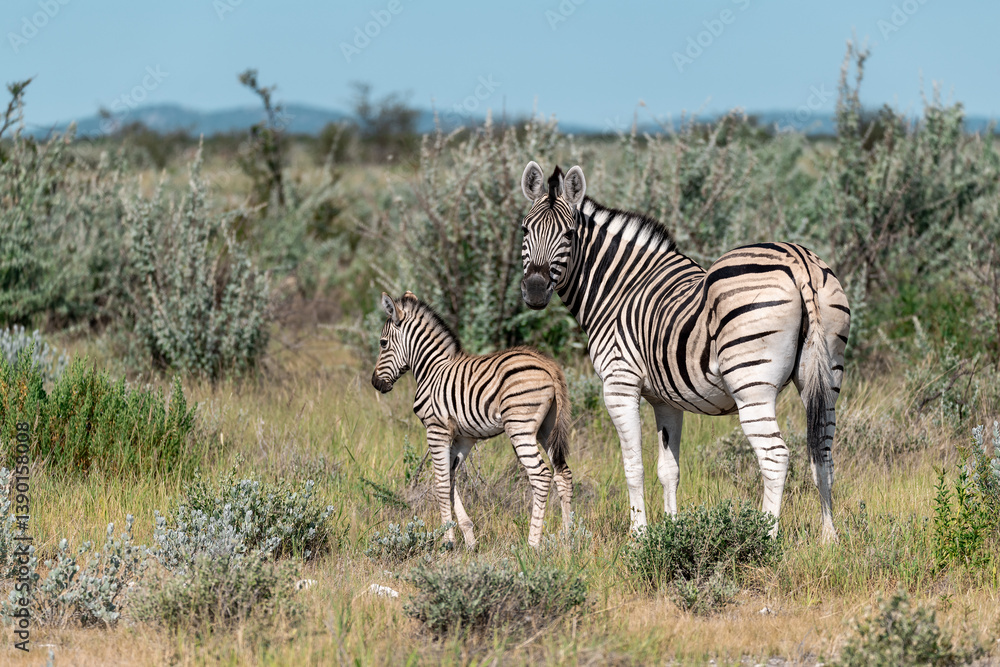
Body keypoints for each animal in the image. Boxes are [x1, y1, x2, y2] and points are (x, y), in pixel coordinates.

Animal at [371, 291, 574, 548]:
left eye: (382, 343)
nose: (375, 383)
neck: (432, 370)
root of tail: (548, 365)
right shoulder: (464, 437)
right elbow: (451, 479)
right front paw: (469, 538)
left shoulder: (436, 429)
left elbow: (440, 482)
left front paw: (448, 541)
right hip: (547, 428)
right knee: (563, 473)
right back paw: (570, 538)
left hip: (520, 427)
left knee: (541, 476)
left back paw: (532, 544)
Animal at [517, 161, 850, 542]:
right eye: (525, 229)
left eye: (569, 235)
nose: (535, 290)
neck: (619, 289)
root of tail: (799, 262)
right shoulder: (666, 400)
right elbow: (668, 469)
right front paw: (672, 532)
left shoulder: (619, 384)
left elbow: (633, 465)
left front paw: (639, 536)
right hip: (826, 375)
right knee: (822, 453)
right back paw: (829, 539)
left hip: (751, 385)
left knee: (776, 457)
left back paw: (765, 538)